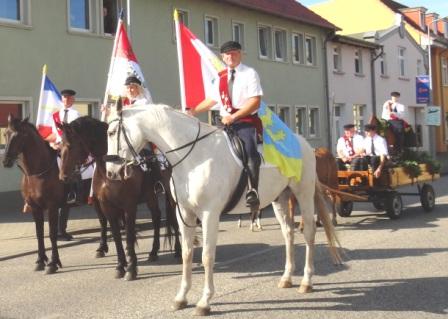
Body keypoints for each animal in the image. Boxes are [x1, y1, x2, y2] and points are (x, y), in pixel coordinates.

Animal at [2, 115, 64, 276]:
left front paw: (53, 264)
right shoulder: (35, 207)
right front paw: (40, 261)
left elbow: (52, 234)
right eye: (5, 134)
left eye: (20, 135)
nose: (5, 161)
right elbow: (39, 233)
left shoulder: (53, 206)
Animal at [58, 116, 181, 282]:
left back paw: (178, 251)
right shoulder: (107, 206)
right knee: (156, 217)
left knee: (174, 218)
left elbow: (128, 236)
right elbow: (116, 236)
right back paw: (153, 252)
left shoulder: (129, 206)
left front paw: (131, 268)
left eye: (71, 146)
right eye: (59, 146)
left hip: (170, 195)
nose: (63, 176)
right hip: (150, 195)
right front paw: (120, 266)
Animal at [106, 105, 344, 318]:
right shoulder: (185, 213)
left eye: (111, 132)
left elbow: (207, 256)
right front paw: (181, 297)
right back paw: (286, 278)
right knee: (288, 234)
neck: (195, 158)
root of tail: (304, 144)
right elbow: (187, 254)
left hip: (303, 193)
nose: (110, 173)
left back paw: (306, 281)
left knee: (309, 233)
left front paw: (204, 301)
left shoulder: (209, 214)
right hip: (280, 198)